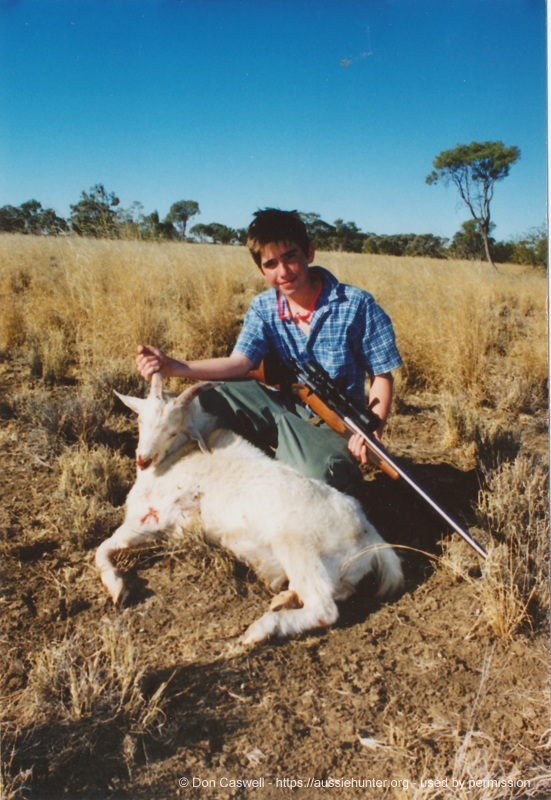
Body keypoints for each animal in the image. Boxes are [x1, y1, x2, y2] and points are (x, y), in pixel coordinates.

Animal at [96, 374, 406, 644]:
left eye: (173, 430)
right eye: (141, 420)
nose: (143, 459)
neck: (182, 456)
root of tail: (370, 536)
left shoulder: (158, 520)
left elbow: (103, 548)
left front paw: (118, 589)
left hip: (296, 548)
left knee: (324, 608)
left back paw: (259, 630)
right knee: (335, 592)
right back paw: (283, 599)